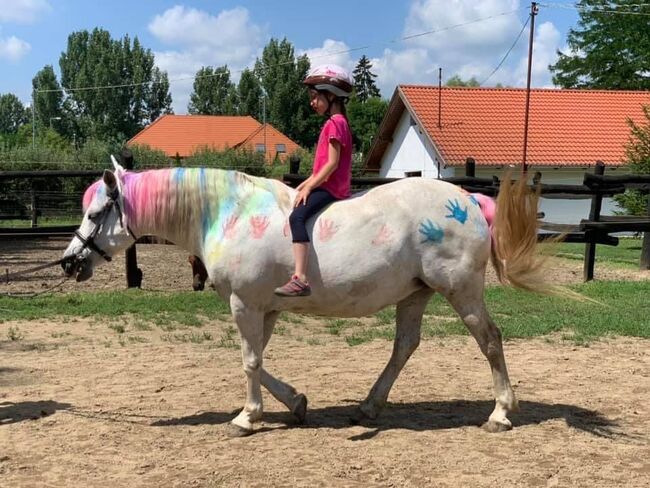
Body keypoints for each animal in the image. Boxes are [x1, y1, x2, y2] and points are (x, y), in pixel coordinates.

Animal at [60, 158, 552, 436]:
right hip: (416, 294)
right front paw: (295, 403)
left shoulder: (245, 304)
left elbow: (250, 362)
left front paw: (247, 418)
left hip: (460, 291)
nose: (68, 263)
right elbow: (258, 361)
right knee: (404, 346)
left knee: (490, 340)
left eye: (94, 213)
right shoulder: (265, 308)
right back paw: (368, 408)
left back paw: (501, 413)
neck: (229, 213)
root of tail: (468, 200)